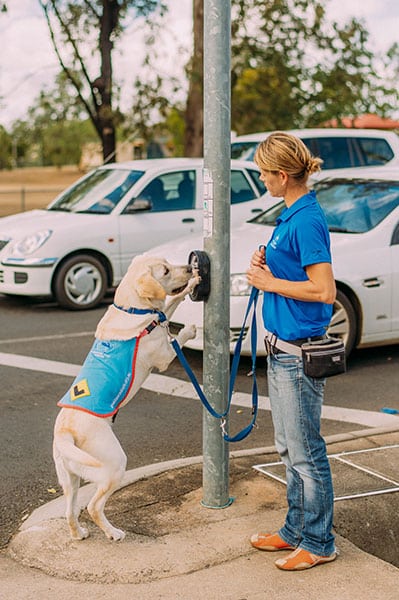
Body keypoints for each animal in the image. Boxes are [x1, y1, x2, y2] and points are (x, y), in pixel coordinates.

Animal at [54, 255, 200, 540]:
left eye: (170, 263)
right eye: (165, 270)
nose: (190, 268)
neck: (133, 310)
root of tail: (64, 431)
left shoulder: (161, 316)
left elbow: (171, 304)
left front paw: (191, 285)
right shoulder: (164, 356)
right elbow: (176, 338)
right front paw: (188, 330)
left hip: (70, 478)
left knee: (69, 510)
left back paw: (79, 534)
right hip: (114, 465)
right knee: (93, 506)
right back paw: (113, 532)